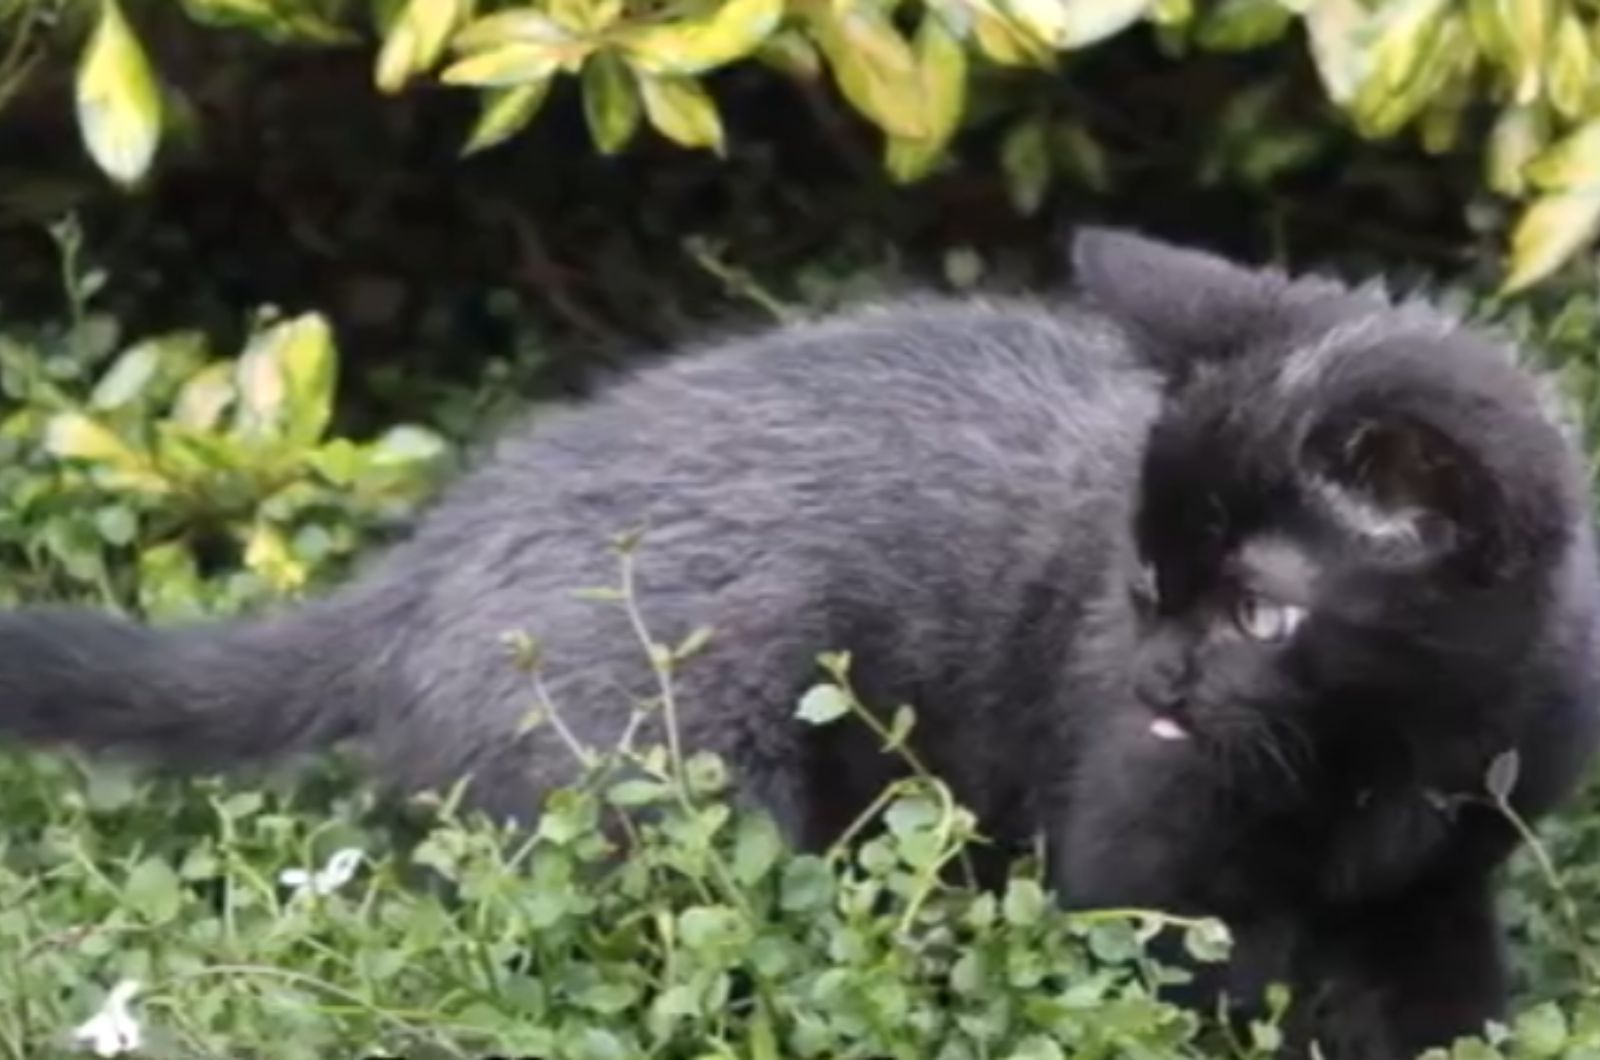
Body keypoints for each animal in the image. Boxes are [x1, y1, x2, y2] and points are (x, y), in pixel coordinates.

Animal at [3, 228, 1600, 1056]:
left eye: (1258, 607)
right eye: (1146, 577)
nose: (1158, 677)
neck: (1380, 758)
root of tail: (426, 562)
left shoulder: (1439, 881)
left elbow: (1446, 1001)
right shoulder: (1142, 872)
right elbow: (1174, 990)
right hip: (670, 802)